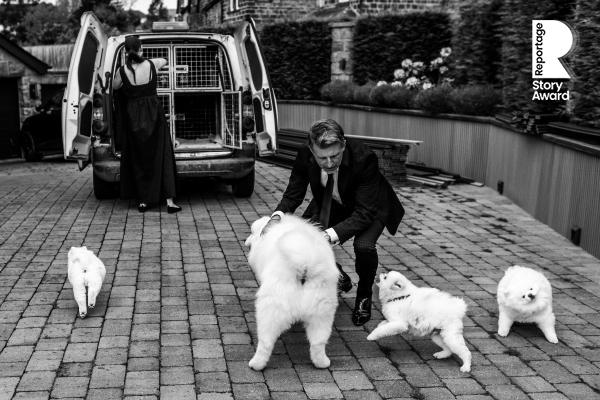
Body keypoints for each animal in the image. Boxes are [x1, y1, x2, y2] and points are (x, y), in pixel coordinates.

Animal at [244, 214, 339, 370]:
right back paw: (322, 363)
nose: (246, 241)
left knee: (265, 342)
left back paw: (256, 364)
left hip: (271, 309)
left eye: (252, 233)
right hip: (322, 313)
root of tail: (305, 265)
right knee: (318, 343)